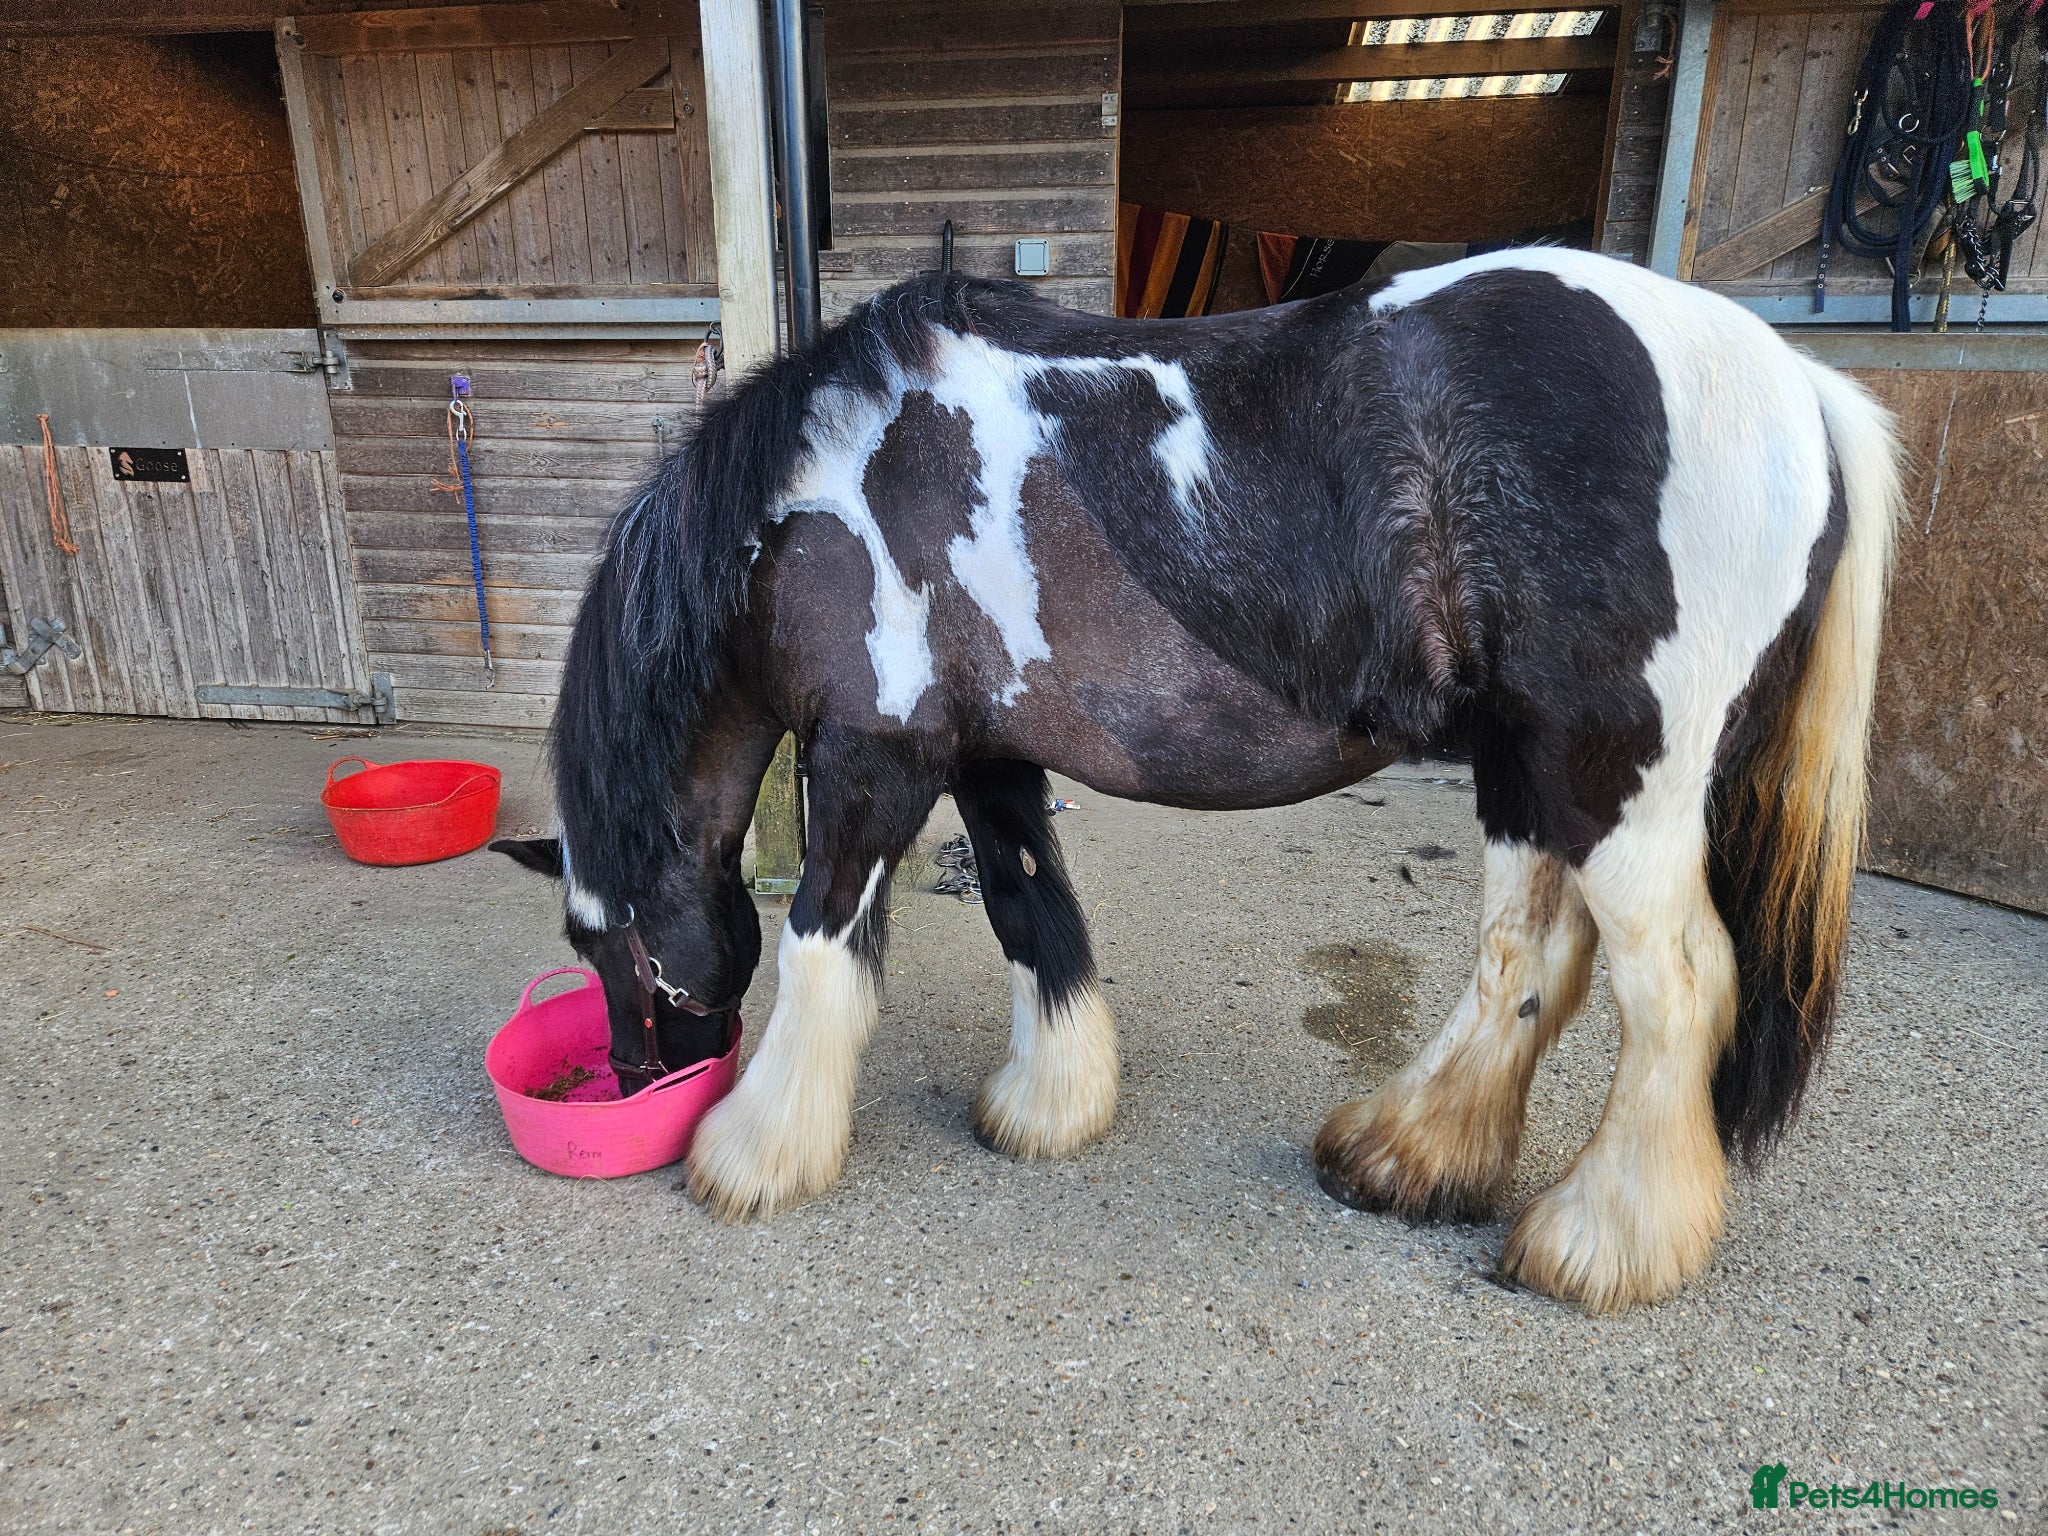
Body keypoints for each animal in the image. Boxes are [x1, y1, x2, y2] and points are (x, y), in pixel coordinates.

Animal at [492, 246, 1900, 1313]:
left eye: (607, 940)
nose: (638, 1082)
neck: (824, 487)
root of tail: (1796, 383)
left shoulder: (873, 757)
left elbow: (820, 946)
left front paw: (755, 1152)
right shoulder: (986, 756)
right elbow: (1031, 910)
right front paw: (1050, 1104)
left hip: (1616, 783)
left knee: (1678, 988)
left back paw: (1599, 1241)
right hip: (1529, 770)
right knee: (1527, 959)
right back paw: (1410, 1158)